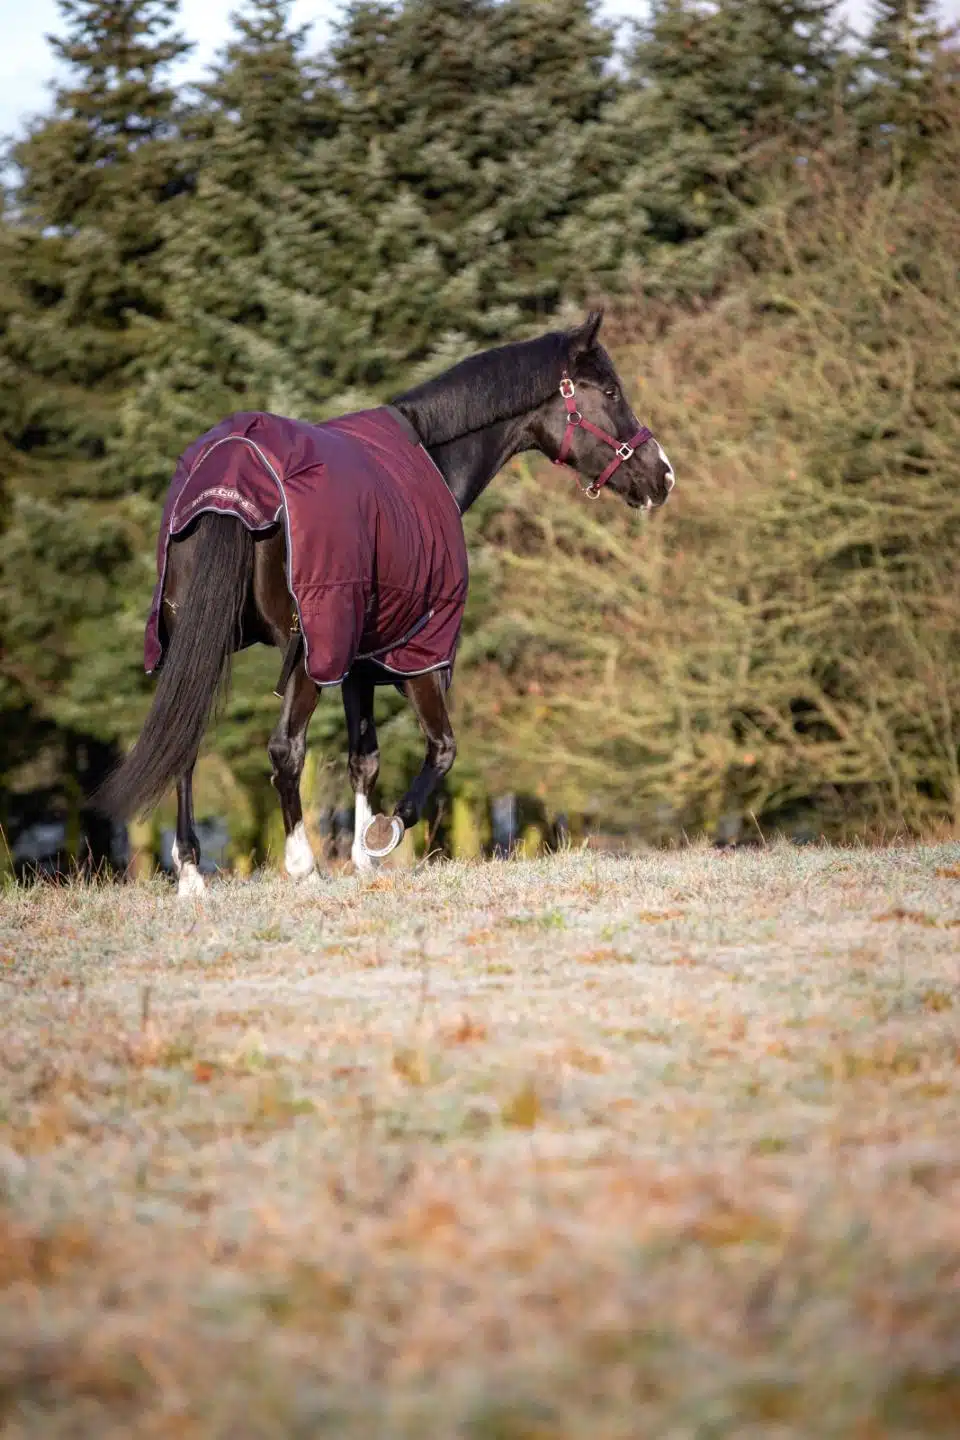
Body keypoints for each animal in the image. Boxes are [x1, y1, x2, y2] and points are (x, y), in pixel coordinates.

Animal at [97, 310, 674, 895]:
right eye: (610, 391)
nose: (663, 476)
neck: (430, 453)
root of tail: (231, 479)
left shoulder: (360, 661)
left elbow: (364, 759)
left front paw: (361, 857)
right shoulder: (419, 654)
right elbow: (442, 748)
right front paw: (383, 834)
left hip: (198, 641)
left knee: (186, 742)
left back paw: (192, 873)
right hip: (309, 652)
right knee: (286, 750)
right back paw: (302, 865)